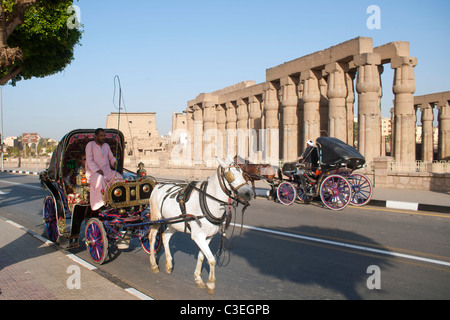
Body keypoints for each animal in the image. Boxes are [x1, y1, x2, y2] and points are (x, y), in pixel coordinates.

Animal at [149, 158, 255, 296]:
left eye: (242, 173)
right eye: (230, 175)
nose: (249, 193)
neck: (210, 202)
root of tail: (158, 184)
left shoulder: (208, 237)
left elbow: (201, 256)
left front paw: (198, 278)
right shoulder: (198, 236)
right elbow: (211, 259)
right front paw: (211, 283)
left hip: (174, 222)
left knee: (165, 237)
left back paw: (169, 264)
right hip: (156, 218)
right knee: (152, 237)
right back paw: (153, 264)